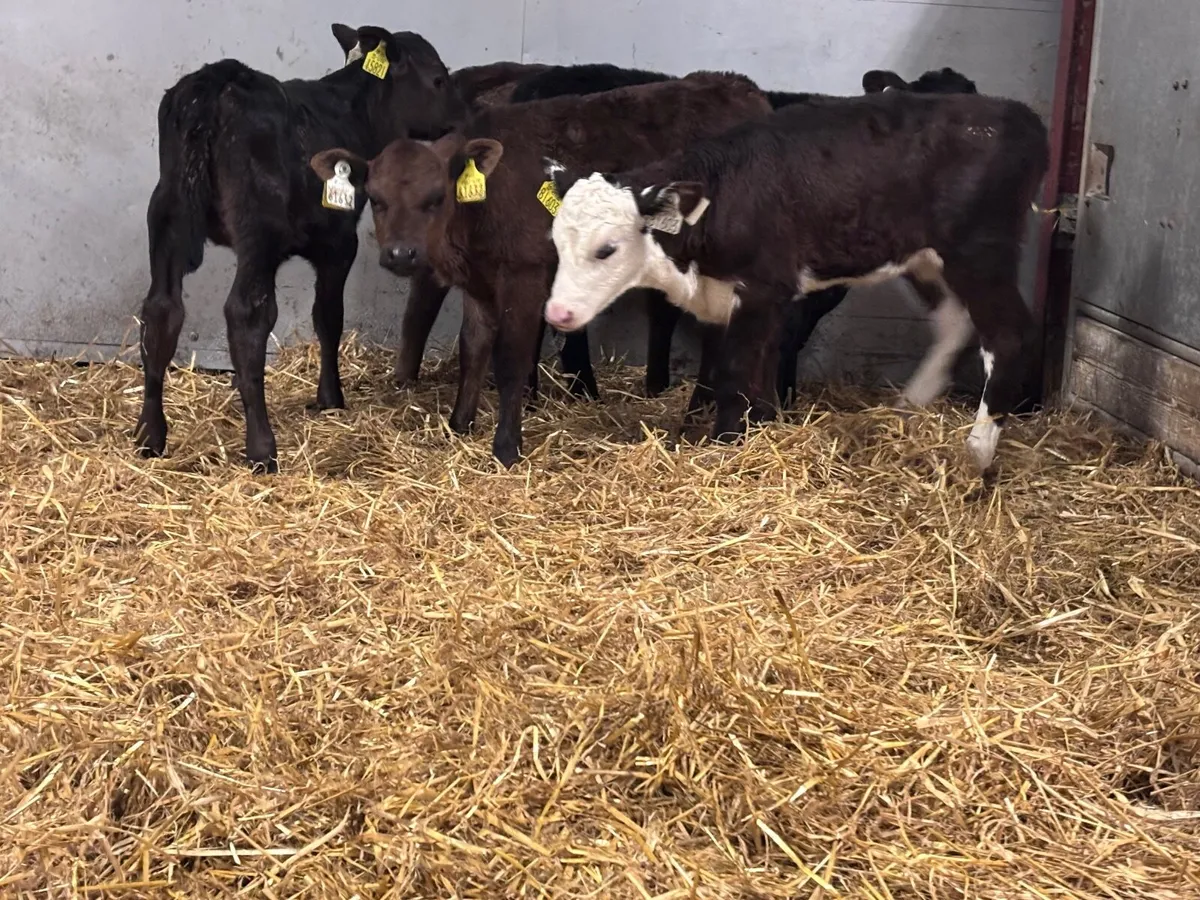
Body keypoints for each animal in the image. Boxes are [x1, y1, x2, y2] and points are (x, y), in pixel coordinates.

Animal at [136, 24, 465, 472]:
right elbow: (328, 317)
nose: (458, 119)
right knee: (247, 314)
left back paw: (150, 435)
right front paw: (331, 398)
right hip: (257, 226)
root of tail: (217, 81)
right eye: (438, 79)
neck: (356, 112)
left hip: (166, 213)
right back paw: (262, 447)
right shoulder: (339, 240)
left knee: (161, 309)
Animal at [311, 72, 773, 467]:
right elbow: (472, 350)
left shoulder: (525, 274)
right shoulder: (480, 283)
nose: (401, 254)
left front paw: (506, 447)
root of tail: (740, 88)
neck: (486, 202)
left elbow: (511, 359)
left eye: (436, 198)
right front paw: (459, 426)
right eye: (375, 198)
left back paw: (699, 413)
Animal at [540, 90, 1049, 472]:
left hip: (979, 251)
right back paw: (910, 405)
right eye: (557, 242)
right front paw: (724, 431)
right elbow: (723, 371)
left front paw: (725, 446)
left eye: (607, 248)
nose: (557, 312)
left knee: (1007, 334)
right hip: (925, 258)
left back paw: (978, 453)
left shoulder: (762, 290)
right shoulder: (727, 297)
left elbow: (735, 374)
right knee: (954, 322)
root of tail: (1016, 113)